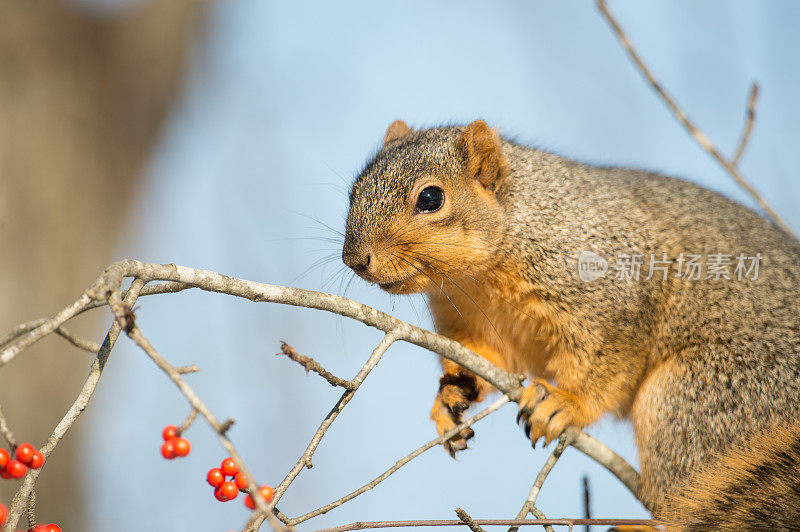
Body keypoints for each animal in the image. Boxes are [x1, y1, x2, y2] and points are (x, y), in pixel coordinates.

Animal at [340, 118, 800, 528]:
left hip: (702, 400)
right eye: (355, 191)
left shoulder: (614, 294)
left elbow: (611, 358)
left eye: (431, 198)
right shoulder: (472, 324)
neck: (479, 278)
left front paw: (568, 403)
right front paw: (453, 394)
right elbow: (487, 361)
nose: (355, 260)